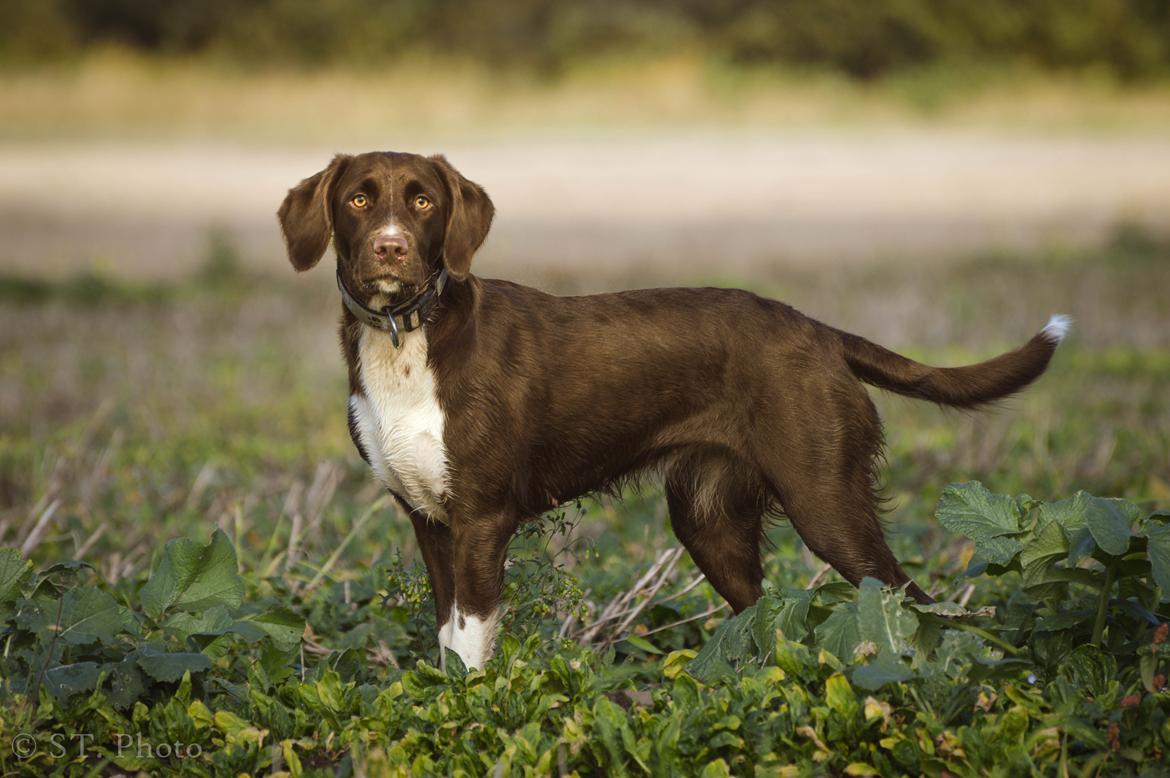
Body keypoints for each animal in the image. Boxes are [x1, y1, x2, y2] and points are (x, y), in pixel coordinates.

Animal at [278, 149, 1067, 669]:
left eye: (423, 202)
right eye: (358, 200)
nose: (390, 250)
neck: (406, 336)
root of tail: (818, 330)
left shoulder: (481, 520)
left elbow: (471, 647)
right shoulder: (429, 521)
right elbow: (446, 640)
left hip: (827, 501)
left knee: (916, 599)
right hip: (708, 520)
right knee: (766, 620)